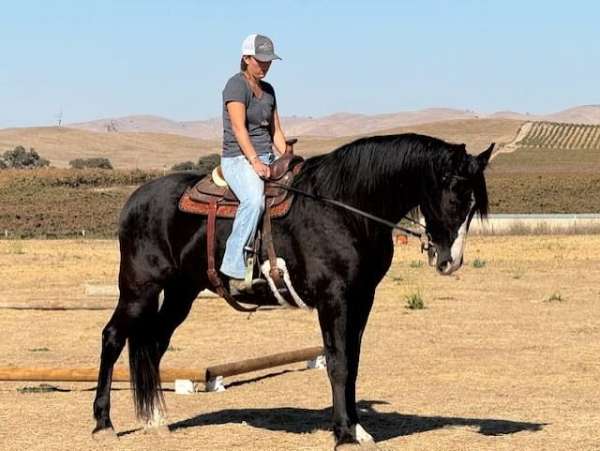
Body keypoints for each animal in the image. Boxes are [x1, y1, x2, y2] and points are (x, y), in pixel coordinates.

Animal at [92, 132, 492, 446]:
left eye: (475, 204)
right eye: (456, 196)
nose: (450, 261)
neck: (345, 209)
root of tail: (135, 200)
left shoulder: (361, 300)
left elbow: (353, 362)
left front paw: (357, 429)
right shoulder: (335, 299)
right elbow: (338, 363)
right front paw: (344, 433)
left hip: (180, 293)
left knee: (154, 343)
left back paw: (155, 419)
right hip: (139, 288)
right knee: (113, 337)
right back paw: (103, 423)